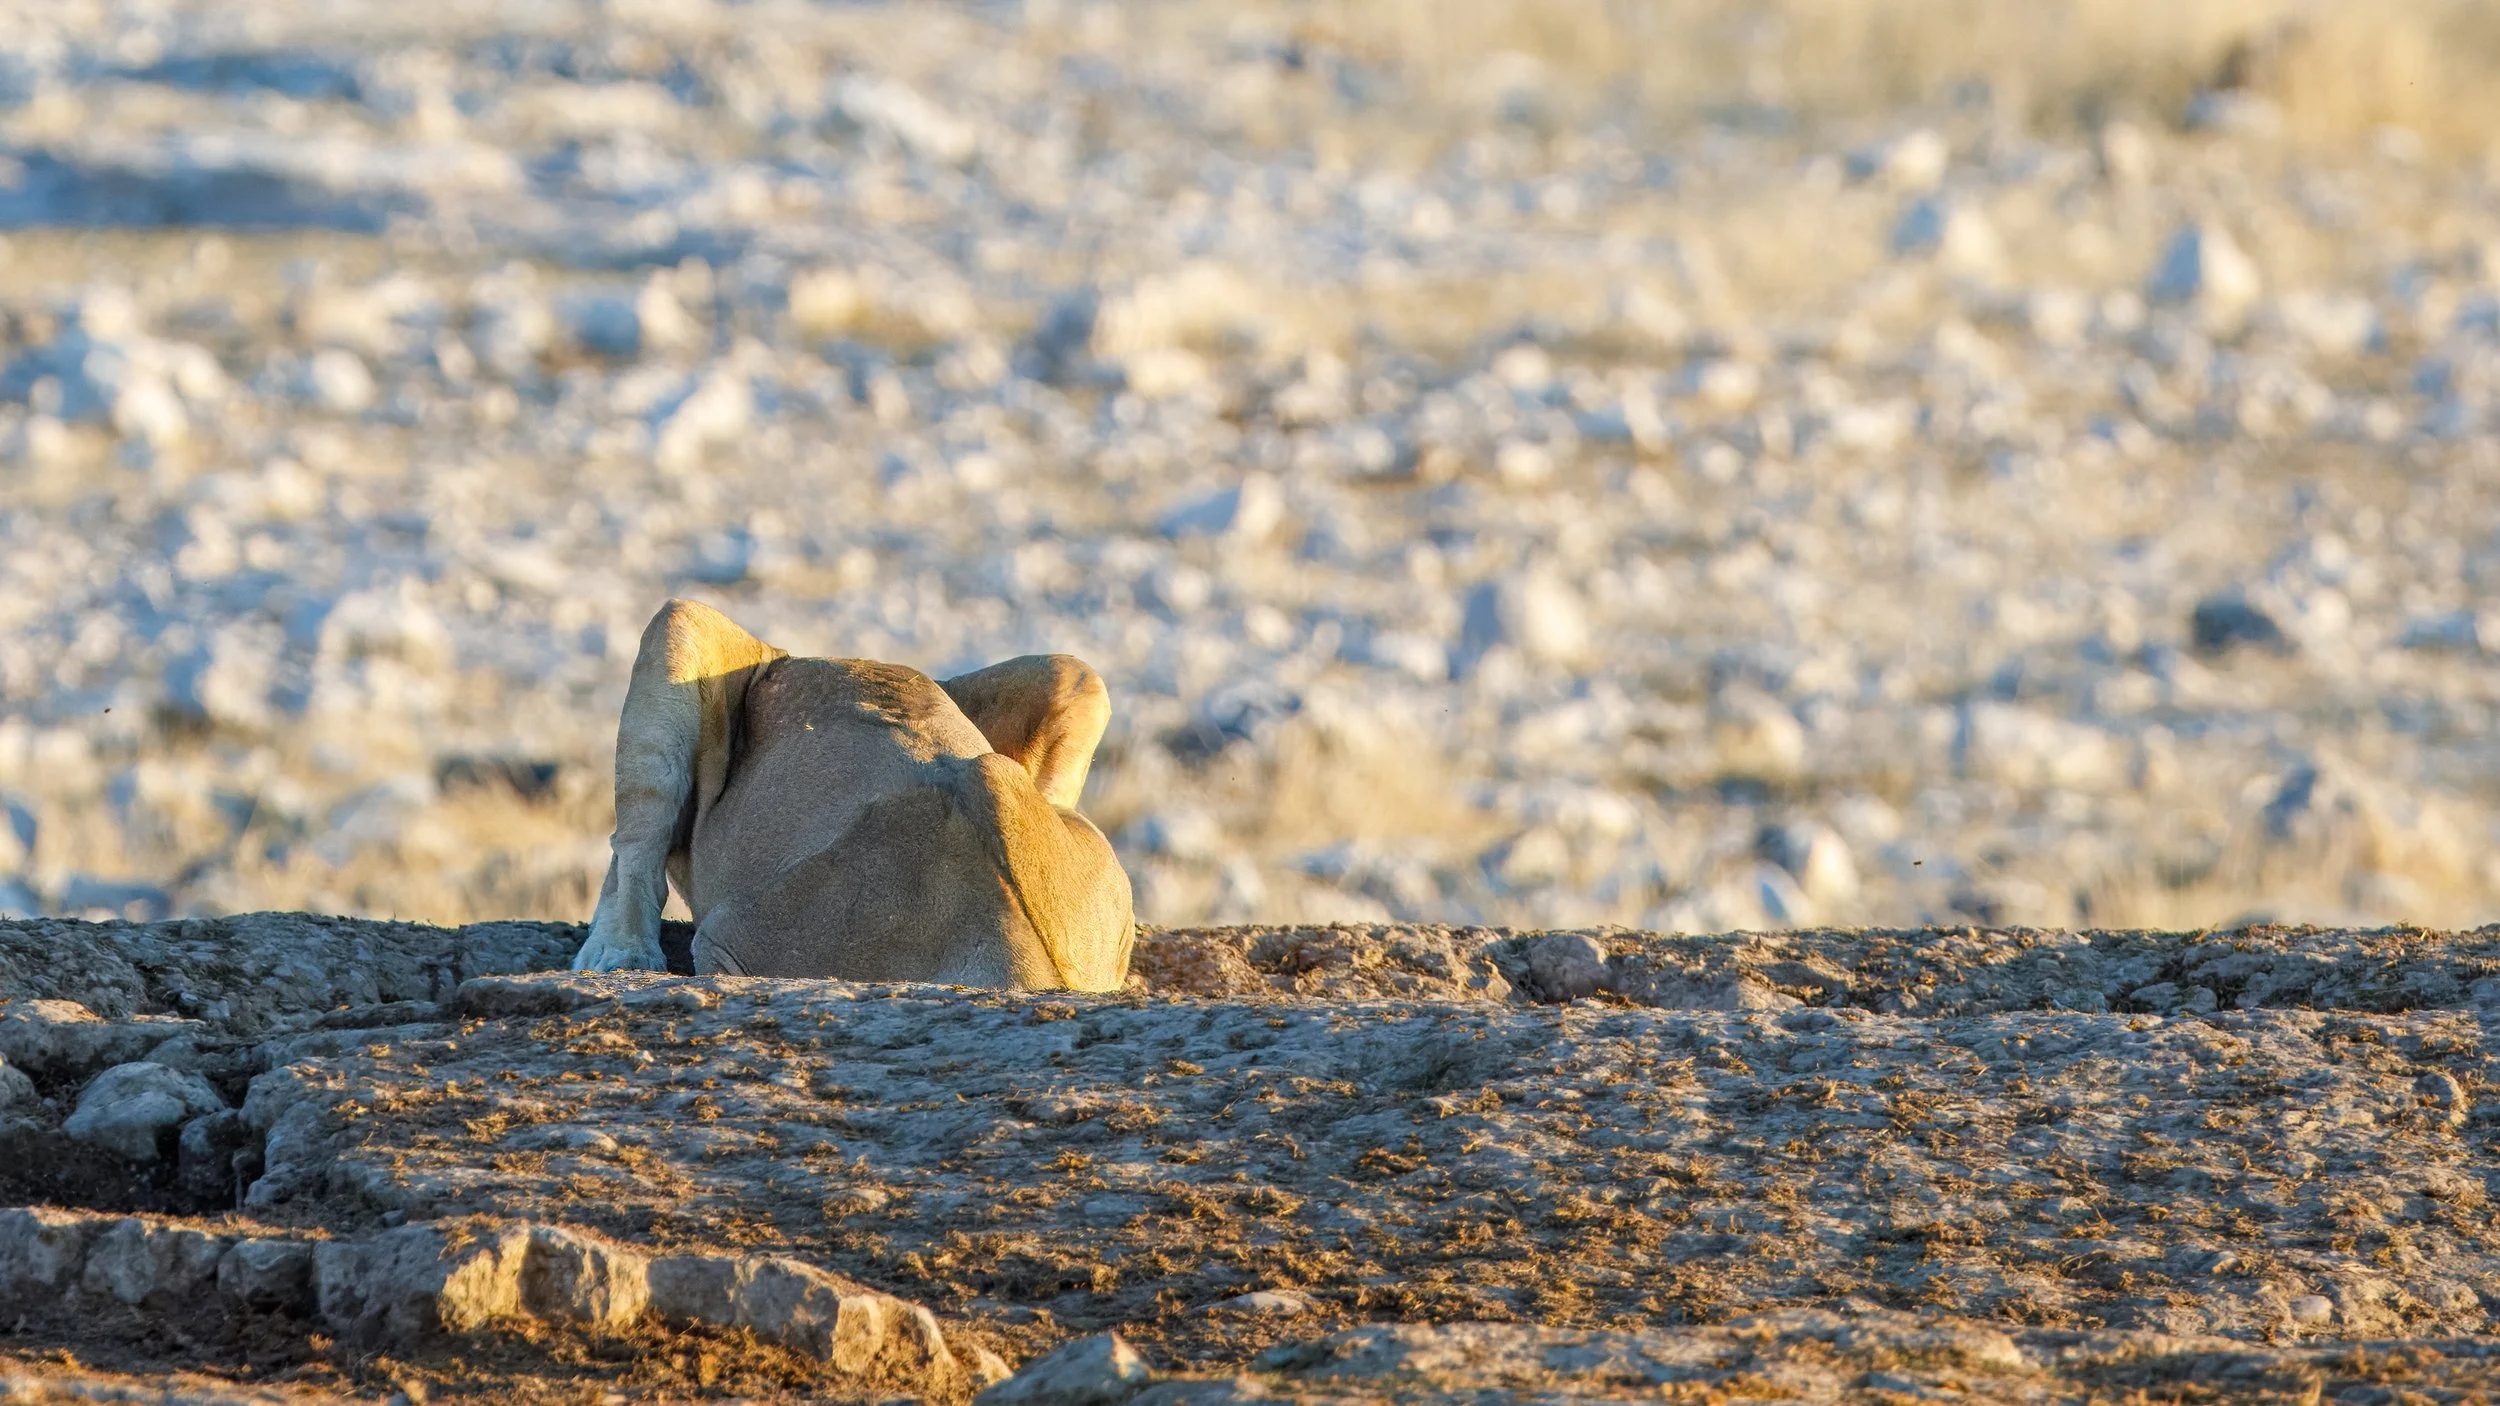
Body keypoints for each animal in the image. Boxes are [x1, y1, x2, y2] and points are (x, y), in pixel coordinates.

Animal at [569, 599, 1135, 989]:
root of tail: (795, 656)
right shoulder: (730, 951)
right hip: (687, 626)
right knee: (639, 838)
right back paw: (619, 955)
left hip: (1069, 679)